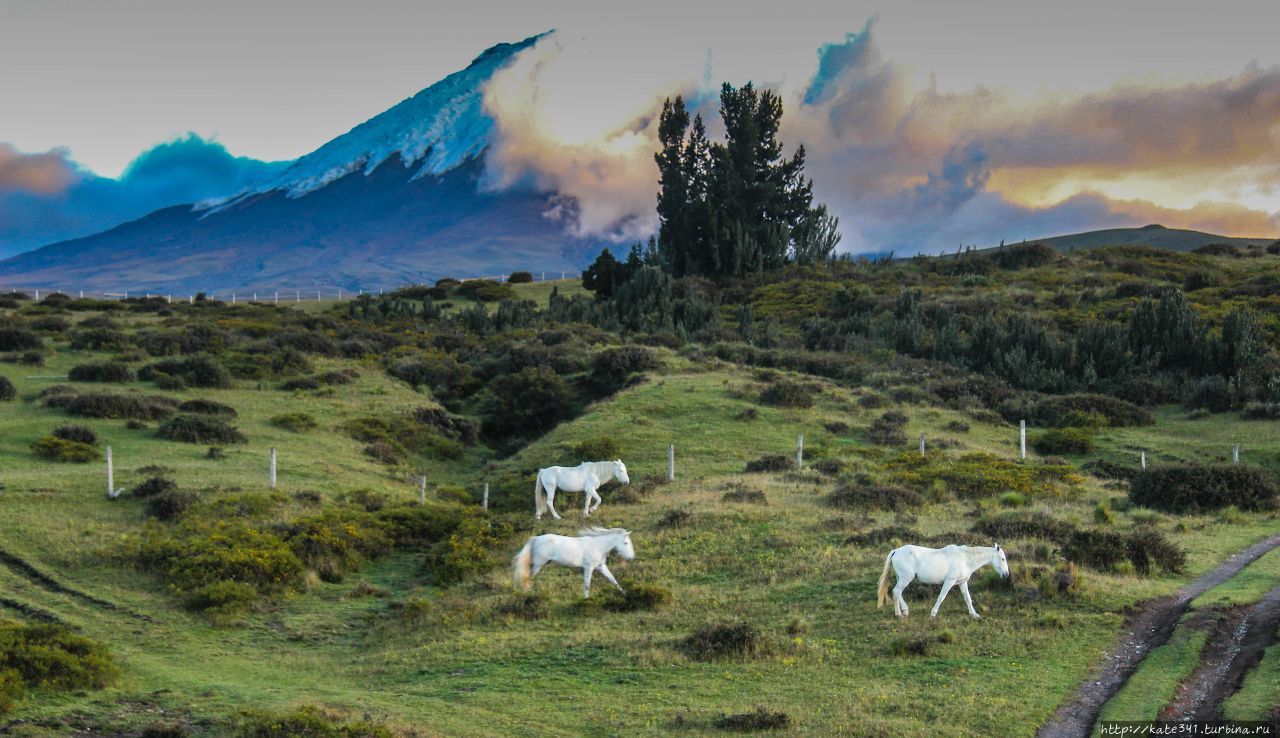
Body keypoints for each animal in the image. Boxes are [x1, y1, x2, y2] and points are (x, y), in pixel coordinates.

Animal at [875, 542, 1013, 616]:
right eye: (1002, 559)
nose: (1006, 575)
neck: (965, 559)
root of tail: (896, 551)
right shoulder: (949, 581)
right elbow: (941, 597)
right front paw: (933, 613)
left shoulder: (962, 582)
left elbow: (967, 598)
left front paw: (974, 614)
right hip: (905, 578)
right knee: (896, 592)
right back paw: (899, 614)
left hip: (902, 578)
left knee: (898, 593)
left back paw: (905, 610)